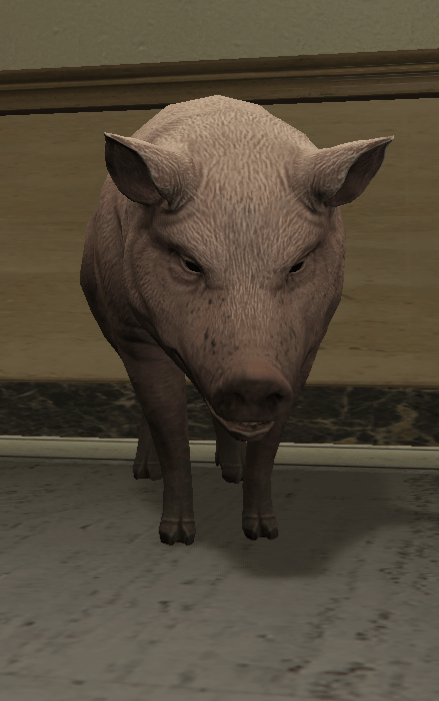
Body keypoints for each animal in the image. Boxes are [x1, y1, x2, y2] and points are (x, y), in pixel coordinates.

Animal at [80, 94, 393, 546]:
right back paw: (145, 474)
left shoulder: (306, 346)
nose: (254, 379)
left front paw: (264, 532)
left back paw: (230, 474)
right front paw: (176, 537)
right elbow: (170, 427)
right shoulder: (134, 336)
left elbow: (268, 446)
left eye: (298, 264)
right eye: (190, 263)